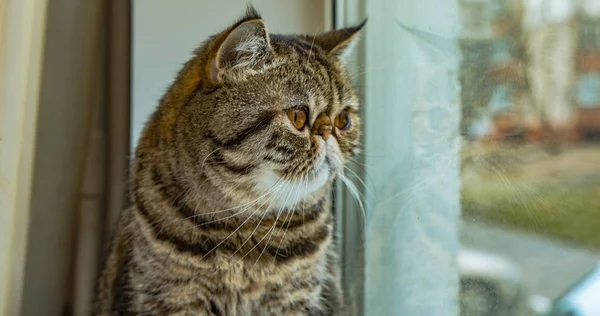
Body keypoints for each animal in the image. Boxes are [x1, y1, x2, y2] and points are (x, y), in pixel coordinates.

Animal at [94, 5, 366, 316]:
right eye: (297, 116)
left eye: (343, 120)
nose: (328, 131)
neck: (245, 230)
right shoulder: (173, 297)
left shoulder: (295, 300)